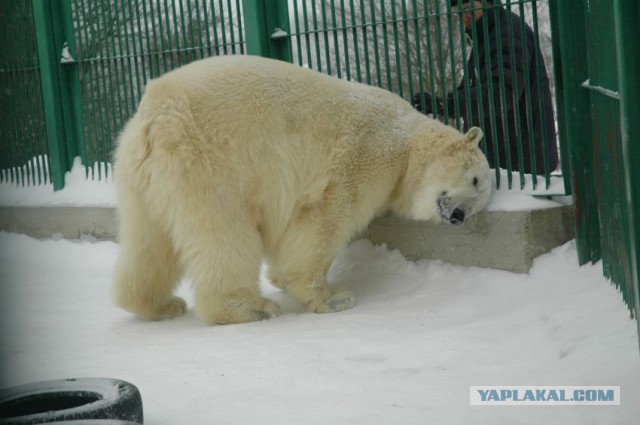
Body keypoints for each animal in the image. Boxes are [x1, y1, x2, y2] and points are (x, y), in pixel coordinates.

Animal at [111, 54, 490, 322]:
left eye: (479, 204)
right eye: (474, 180)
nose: (458, 215)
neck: (407, 138)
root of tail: (155, 115)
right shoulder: (363, 154)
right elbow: (326, 218)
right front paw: (333, 297)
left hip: (141, 176)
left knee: (147, 240)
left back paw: (157, 304)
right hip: (210, 162)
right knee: (224, 232)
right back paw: (251, 308)